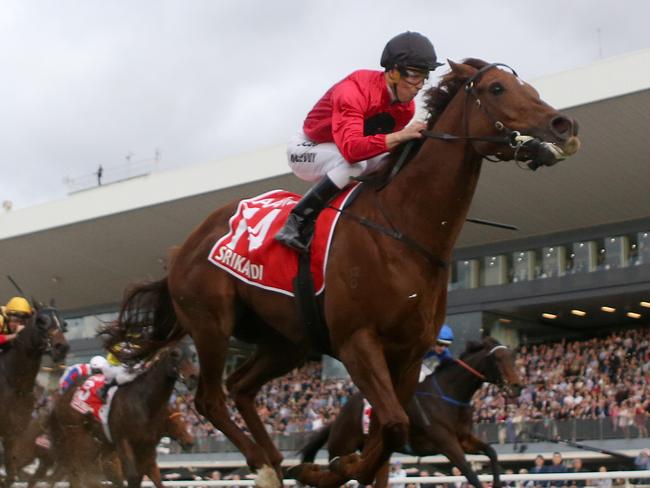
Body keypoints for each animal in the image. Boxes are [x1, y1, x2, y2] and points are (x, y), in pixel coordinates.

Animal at [298, 340, 520, 488]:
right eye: (498, 359)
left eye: (513, 357)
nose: (517, 386)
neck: (448, 395)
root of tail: (337, 417)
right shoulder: (447, 443)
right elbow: (470, 474)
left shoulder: (463, 439)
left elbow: (491, 452)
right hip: (342, 447)